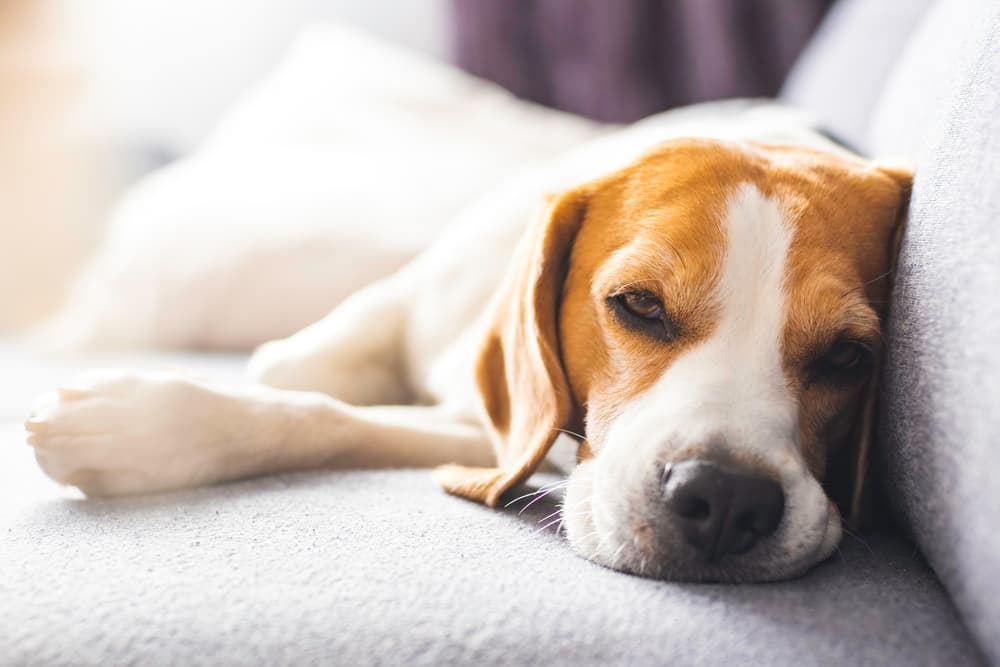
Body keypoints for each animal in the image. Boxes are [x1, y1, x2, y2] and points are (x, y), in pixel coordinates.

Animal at [25, 102, 916, 580]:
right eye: (639, 305)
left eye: (848, 357)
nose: (726, 499)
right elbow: (299, 371)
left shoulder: (499, 436)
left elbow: (322, 418)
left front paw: (140, 425)